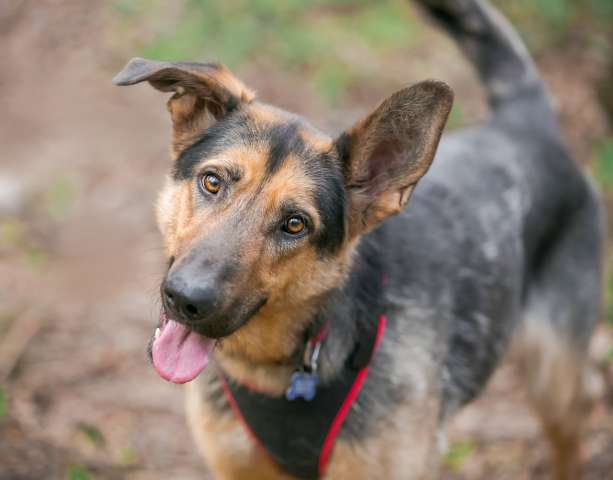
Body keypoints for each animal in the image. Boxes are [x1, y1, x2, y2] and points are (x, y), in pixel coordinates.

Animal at [116, 0, 604, 480]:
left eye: (295, 224)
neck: (280, 369)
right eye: (212, 182)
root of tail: (525, 123)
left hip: (553, 382)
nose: (187, 300)